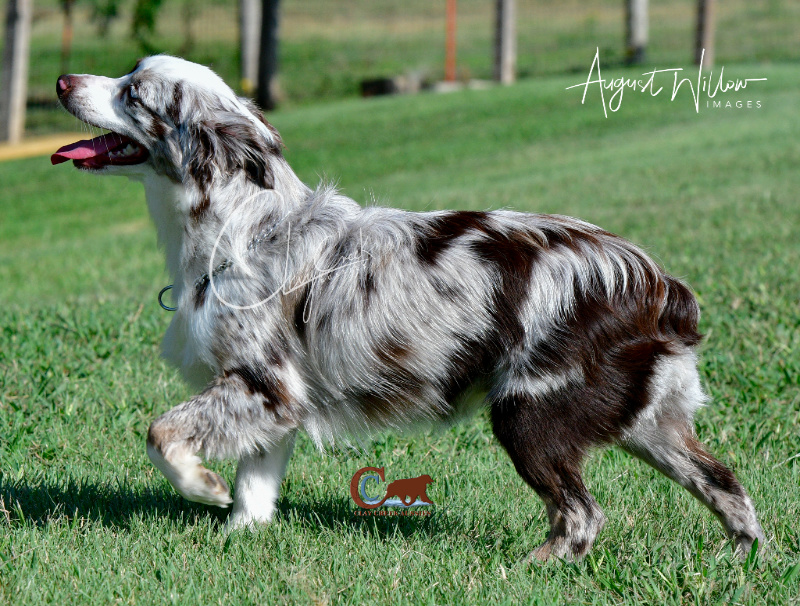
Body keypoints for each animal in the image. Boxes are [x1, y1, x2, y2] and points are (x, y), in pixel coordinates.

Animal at [53, 55, 764, 560]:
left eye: (134, 93)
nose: (62, 81)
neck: (244, 229)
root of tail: (650, 279)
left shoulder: (259, 383)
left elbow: (161, 434)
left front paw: (202, 486)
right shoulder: (277, 398)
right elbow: (254, 491)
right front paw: (238, 536)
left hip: (529, 412)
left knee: (582, 513)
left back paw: (525, 569)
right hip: (646, 421)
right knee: (725, 482)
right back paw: (738, 559)